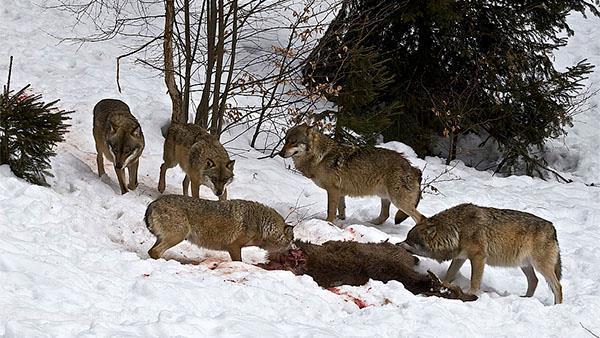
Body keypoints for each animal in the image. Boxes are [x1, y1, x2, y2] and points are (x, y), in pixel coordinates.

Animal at [145, 194, 296, 262]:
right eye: (292, 240)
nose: (293, 250)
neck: (261, 224)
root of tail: (154, 202)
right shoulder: (234, 246)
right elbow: (239, 262)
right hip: (178, 236)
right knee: (155, 251)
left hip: (166, 238)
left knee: (151, 251)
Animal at [278, 123, 422, 224]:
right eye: (285, 141)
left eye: (294, 142)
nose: (280, 153)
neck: (321, 157)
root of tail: (412, 167)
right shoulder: (340, 192)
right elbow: (341, 211)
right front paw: (339, 223)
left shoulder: (333, 190)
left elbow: (330, 211)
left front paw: (327, 224)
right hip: (385, 197)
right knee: (384, 216)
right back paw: (370, 224)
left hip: (398, 201)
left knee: (420, 218)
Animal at [398, 203, 564, 304]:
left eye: (409, 240)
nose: (397, 244)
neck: (457, 230)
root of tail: (552, 227)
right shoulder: (460, 258)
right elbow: (449, 275)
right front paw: (442, 284)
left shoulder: (478, 257)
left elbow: (474, 280)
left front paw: (472, 294)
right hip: (525, 265)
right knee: (534, 281)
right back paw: (525, 299)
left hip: (540, 266)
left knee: (558, 286)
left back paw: (556, 306)